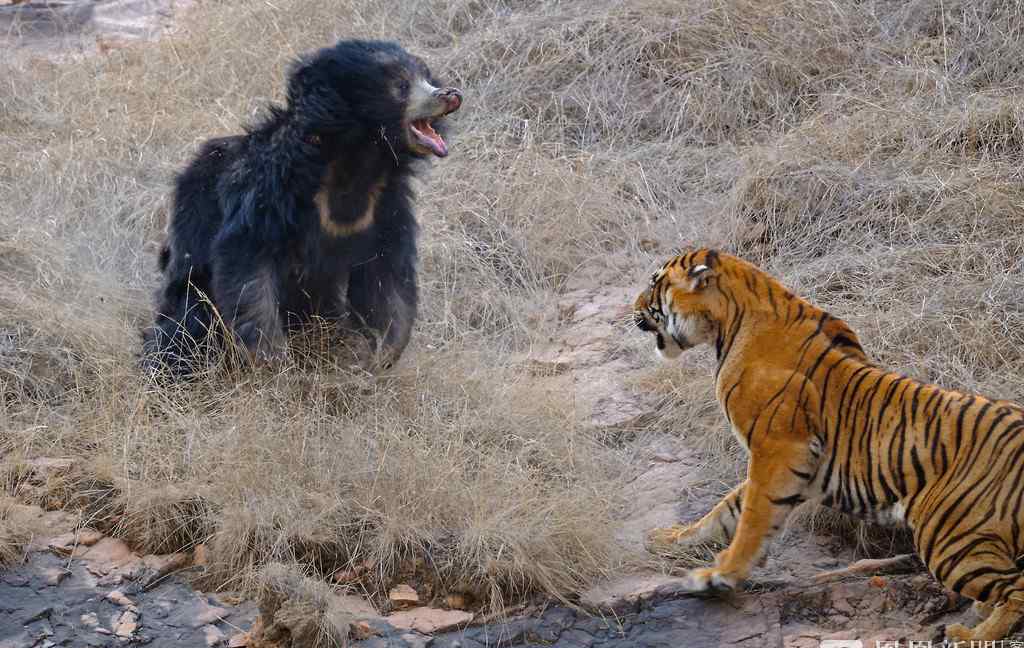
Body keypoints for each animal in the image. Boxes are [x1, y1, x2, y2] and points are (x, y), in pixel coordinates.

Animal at [142, 40, 462, 376]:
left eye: (426, 77)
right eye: (401, 86)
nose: (451, 94)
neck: (358, 161)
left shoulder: (386, 206)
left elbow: (386, 278)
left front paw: (377, 356)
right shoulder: (270, 192)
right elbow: (247, 264)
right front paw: (273, 361)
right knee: (187, 324)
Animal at [634, 247, 1024, 642]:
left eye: (655, 283)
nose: (632, 308)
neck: (728, 322)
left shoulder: (779, 450)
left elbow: (752, 519)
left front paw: (718, 575)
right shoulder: (791, 465)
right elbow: (726, 511)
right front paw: (672, 538)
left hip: (948, 537)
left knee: (1016, 589)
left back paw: (972, 635)